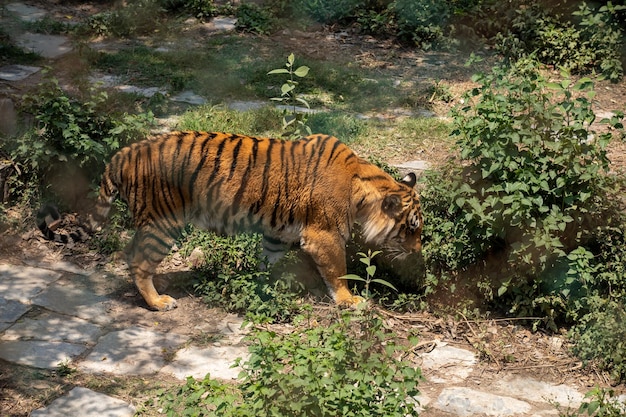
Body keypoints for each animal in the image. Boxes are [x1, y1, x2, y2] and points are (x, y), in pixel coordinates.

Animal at [41, 132, 422, 310]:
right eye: (411, 228)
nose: (418, 252)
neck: (362, 185)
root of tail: (123, 153)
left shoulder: (277, 233)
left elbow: (269, 262)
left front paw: (264, 285)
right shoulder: (323, 235)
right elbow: (337, 270)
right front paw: (349, 300)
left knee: (129, 254)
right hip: (163, 223)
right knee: (138, 262)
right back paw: (159, 302)